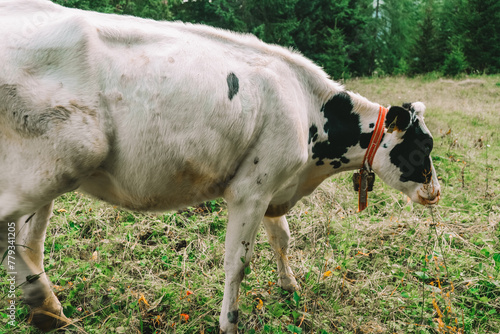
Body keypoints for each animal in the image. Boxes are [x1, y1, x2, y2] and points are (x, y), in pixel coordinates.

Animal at [0, 1, 438, 332]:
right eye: (423, 147)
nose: (434, 192)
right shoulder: (251, 190)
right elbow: (237, 263)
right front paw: (230, 322)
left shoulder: (272, 185)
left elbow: (282, 238)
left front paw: (289, 286)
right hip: (63, 162)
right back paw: (42, 301)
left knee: (28, 241)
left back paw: (47, 308)